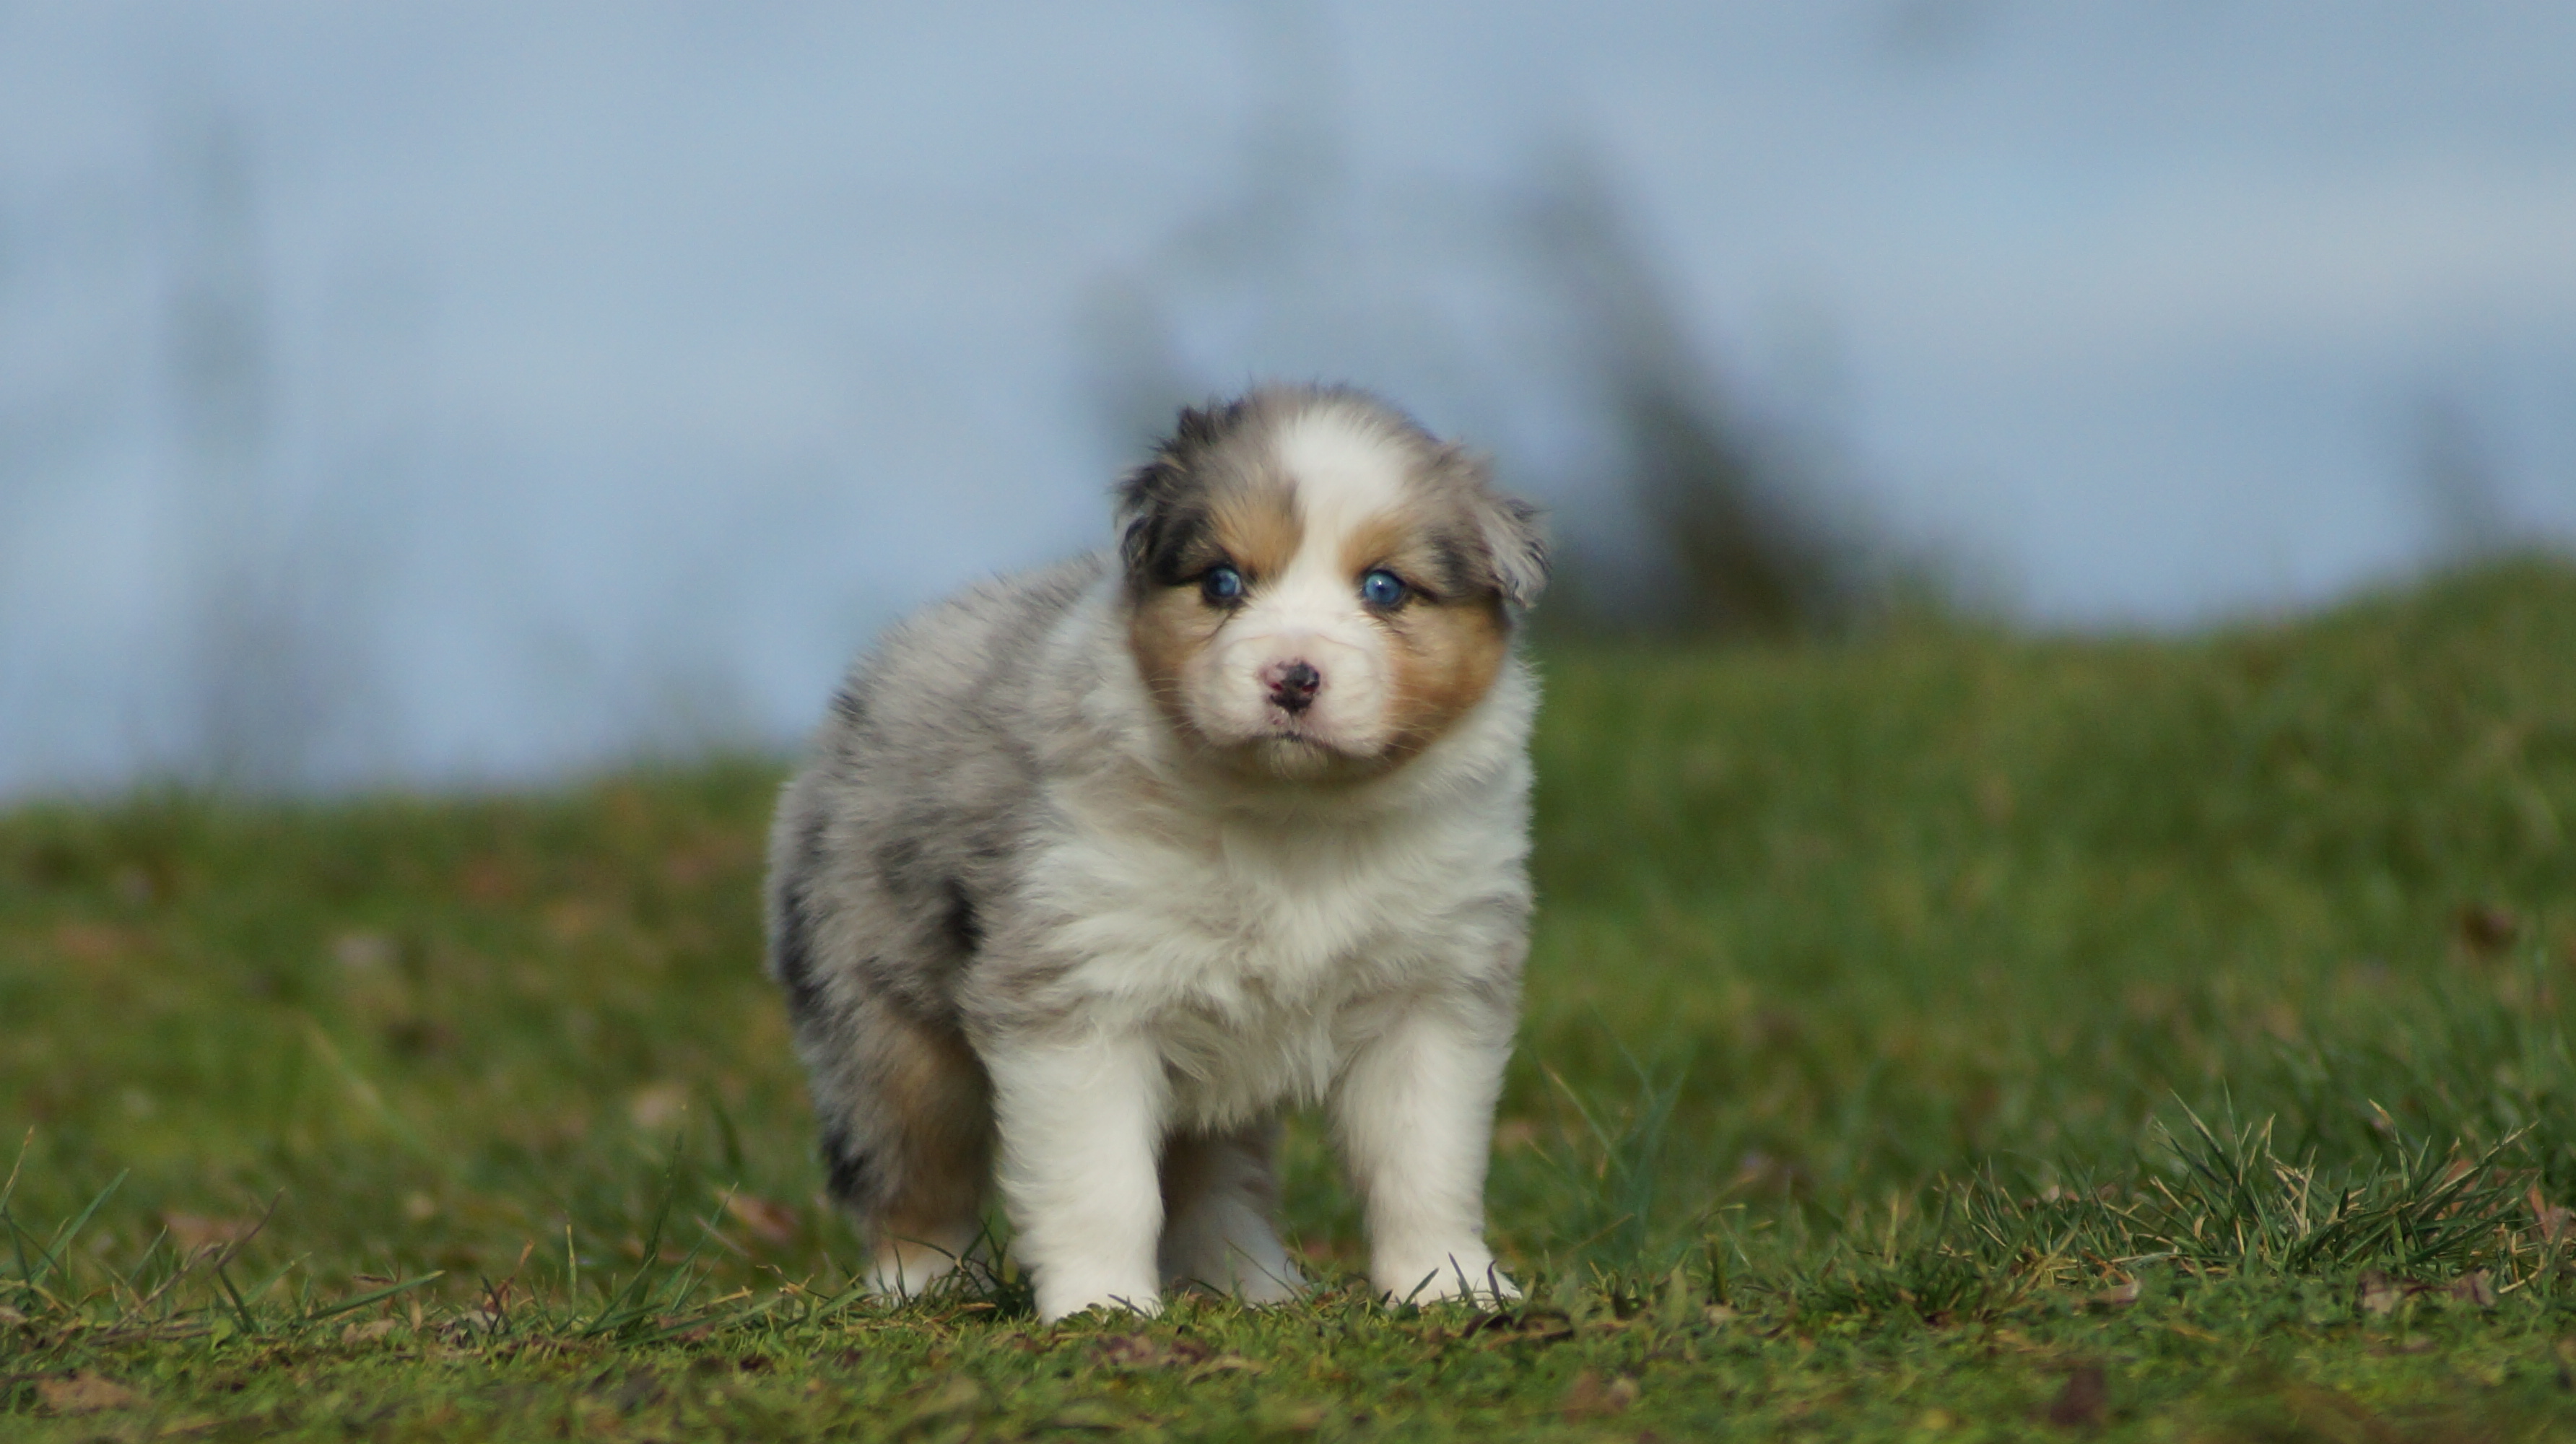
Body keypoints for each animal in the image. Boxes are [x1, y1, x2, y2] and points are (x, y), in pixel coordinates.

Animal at [767, 383, 1545, 1318]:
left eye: (1384, 588)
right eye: (1222, 582)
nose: (1292, 677)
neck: (1292, 816)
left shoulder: (1430, 993)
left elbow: (1423, 1160)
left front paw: (1452, 1286)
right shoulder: (1080, 995)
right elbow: (1103, 1181)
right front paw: (1102, 1305)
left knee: (1214, 1178)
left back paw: (1255, 1285)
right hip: (888, 1020)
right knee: (912, 1168)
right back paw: (923, 1285)